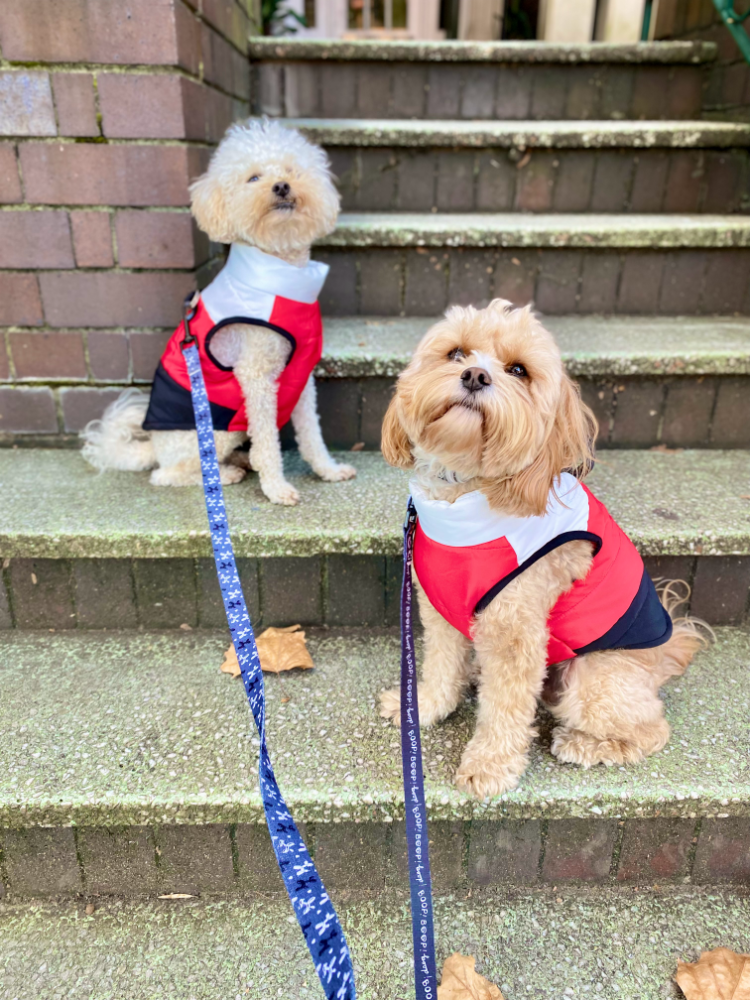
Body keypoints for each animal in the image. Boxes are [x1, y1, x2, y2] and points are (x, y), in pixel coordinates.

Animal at [81, 119, 356, 508]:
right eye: (253, 178)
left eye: (292, 170)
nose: (282, 185)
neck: (280, 275)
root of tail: (154, 447)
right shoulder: (256, 377)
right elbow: (268, 443)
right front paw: (276, 488)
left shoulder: (300, 378)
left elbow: (311, 434)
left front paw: (328, 470)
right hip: (217, 427)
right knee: (168, 474)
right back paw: (223, 474)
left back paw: (240, 461)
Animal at [382, 300, 712, 800]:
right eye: (456, 353)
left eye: (519, 370)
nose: (475, 375)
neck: (464, 494)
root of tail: (664, 655)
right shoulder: (438, 610)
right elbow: (440, 666)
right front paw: (421, 708)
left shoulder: (516, 629)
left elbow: (505, 709)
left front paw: (489, 767)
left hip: (594, 681)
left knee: (651, 729)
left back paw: (587, 744)